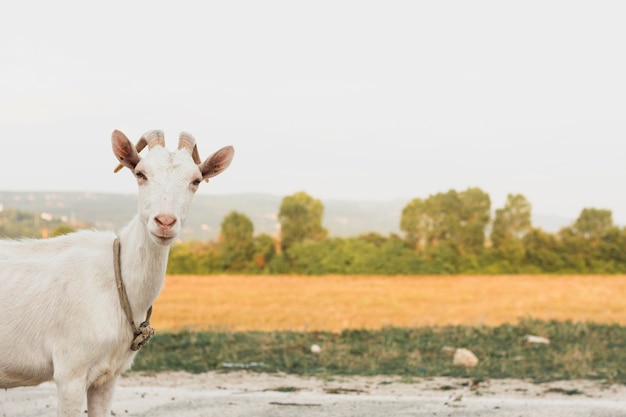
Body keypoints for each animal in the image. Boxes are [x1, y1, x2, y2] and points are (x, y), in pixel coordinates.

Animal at [0, 128, 233, 414]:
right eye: (140, 174)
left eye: (196, 180)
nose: (165, 222)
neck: (114, 280)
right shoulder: (70, 371)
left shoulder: (108, 376)